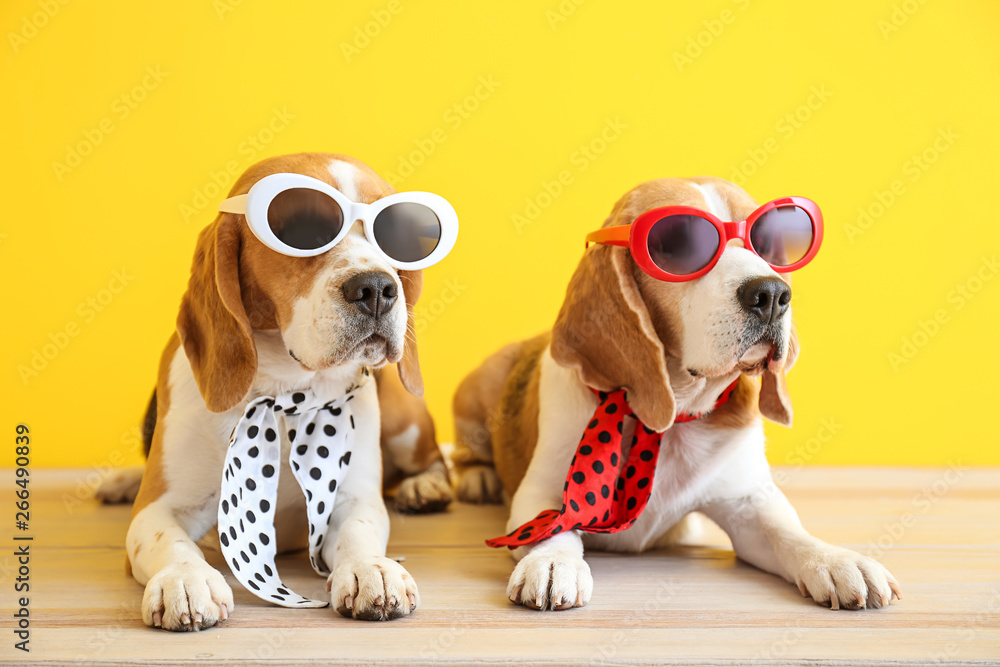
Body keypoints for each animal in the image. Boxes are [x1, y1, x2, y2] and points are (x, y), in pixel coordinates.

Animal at [98, 153, 454, 632]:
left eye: (396, 236)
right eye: (302, 230)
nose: (378, 288)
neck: (285, 390)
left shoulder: (353, 498)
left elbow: (359, 531)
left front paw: (369, 569)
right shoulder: (157, 510)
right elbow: (170, 541)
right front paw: (186, 579)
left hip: (405, 422)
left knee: (435, 459)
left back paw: (426, 487)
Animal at [450, 176, 904, 612]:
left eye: (767, 243)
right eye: (678, 245)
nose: (772, 293)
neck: (668, 418)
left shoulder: (749, 503)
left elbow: (789, 532)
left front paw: (836, 560)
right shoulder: (540, 492)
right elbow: (554, 528)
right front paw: (553, 562)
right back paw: (477, 477)